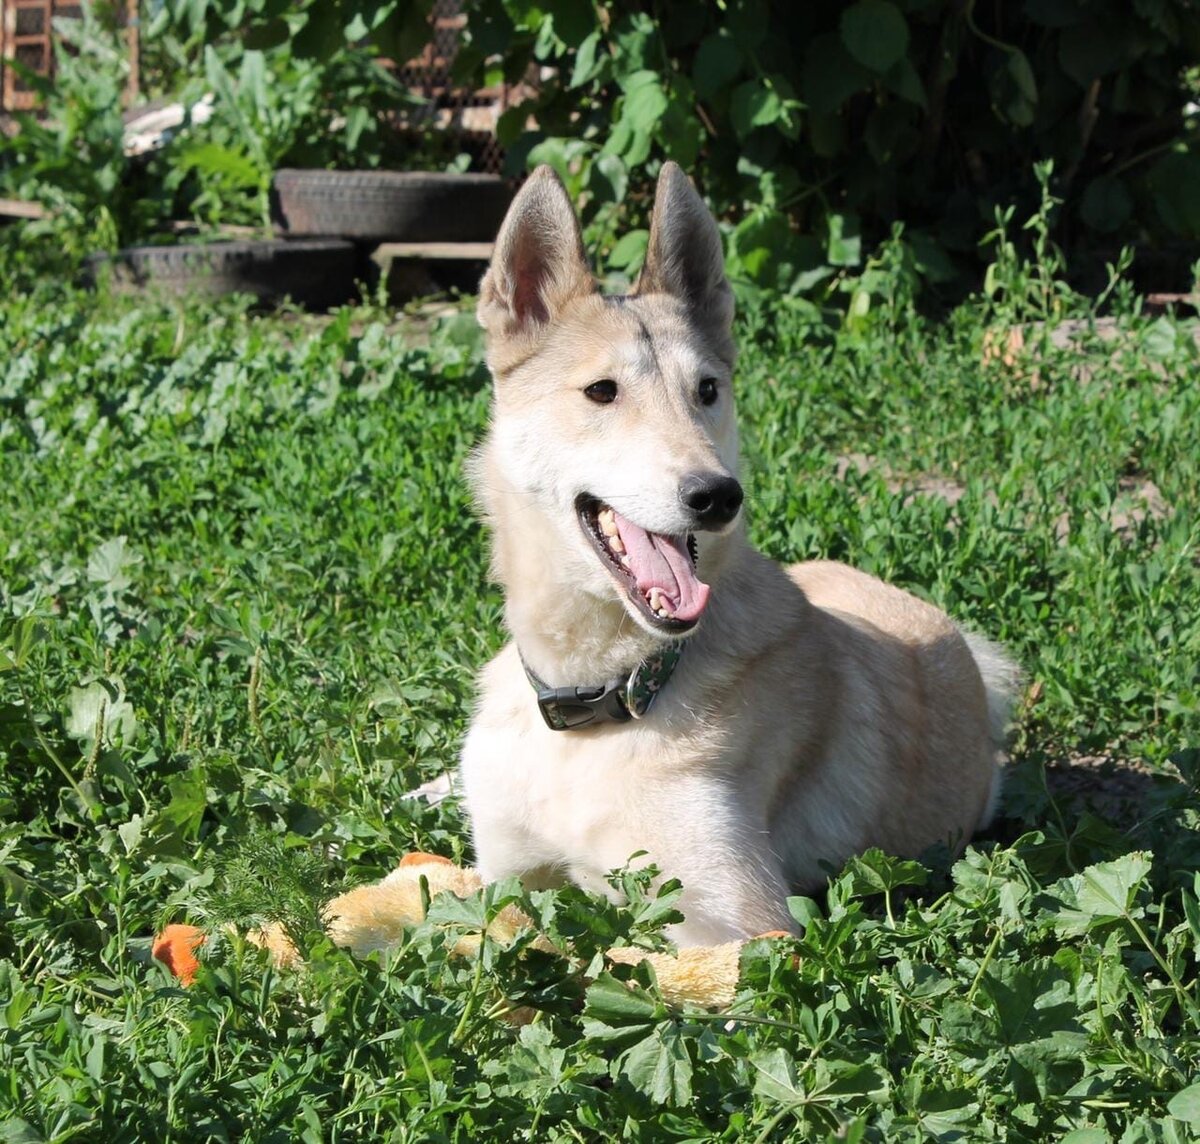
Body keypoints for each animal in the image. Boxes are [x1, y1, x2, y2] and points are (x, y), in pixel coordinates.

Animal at [453, 163, 1017, 945]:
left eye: (707, 390)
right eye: (601, 391)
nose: (718, 495)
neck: (606, 693)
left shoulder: (739, 928)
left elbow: (624, 959)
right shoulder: (501, 880)